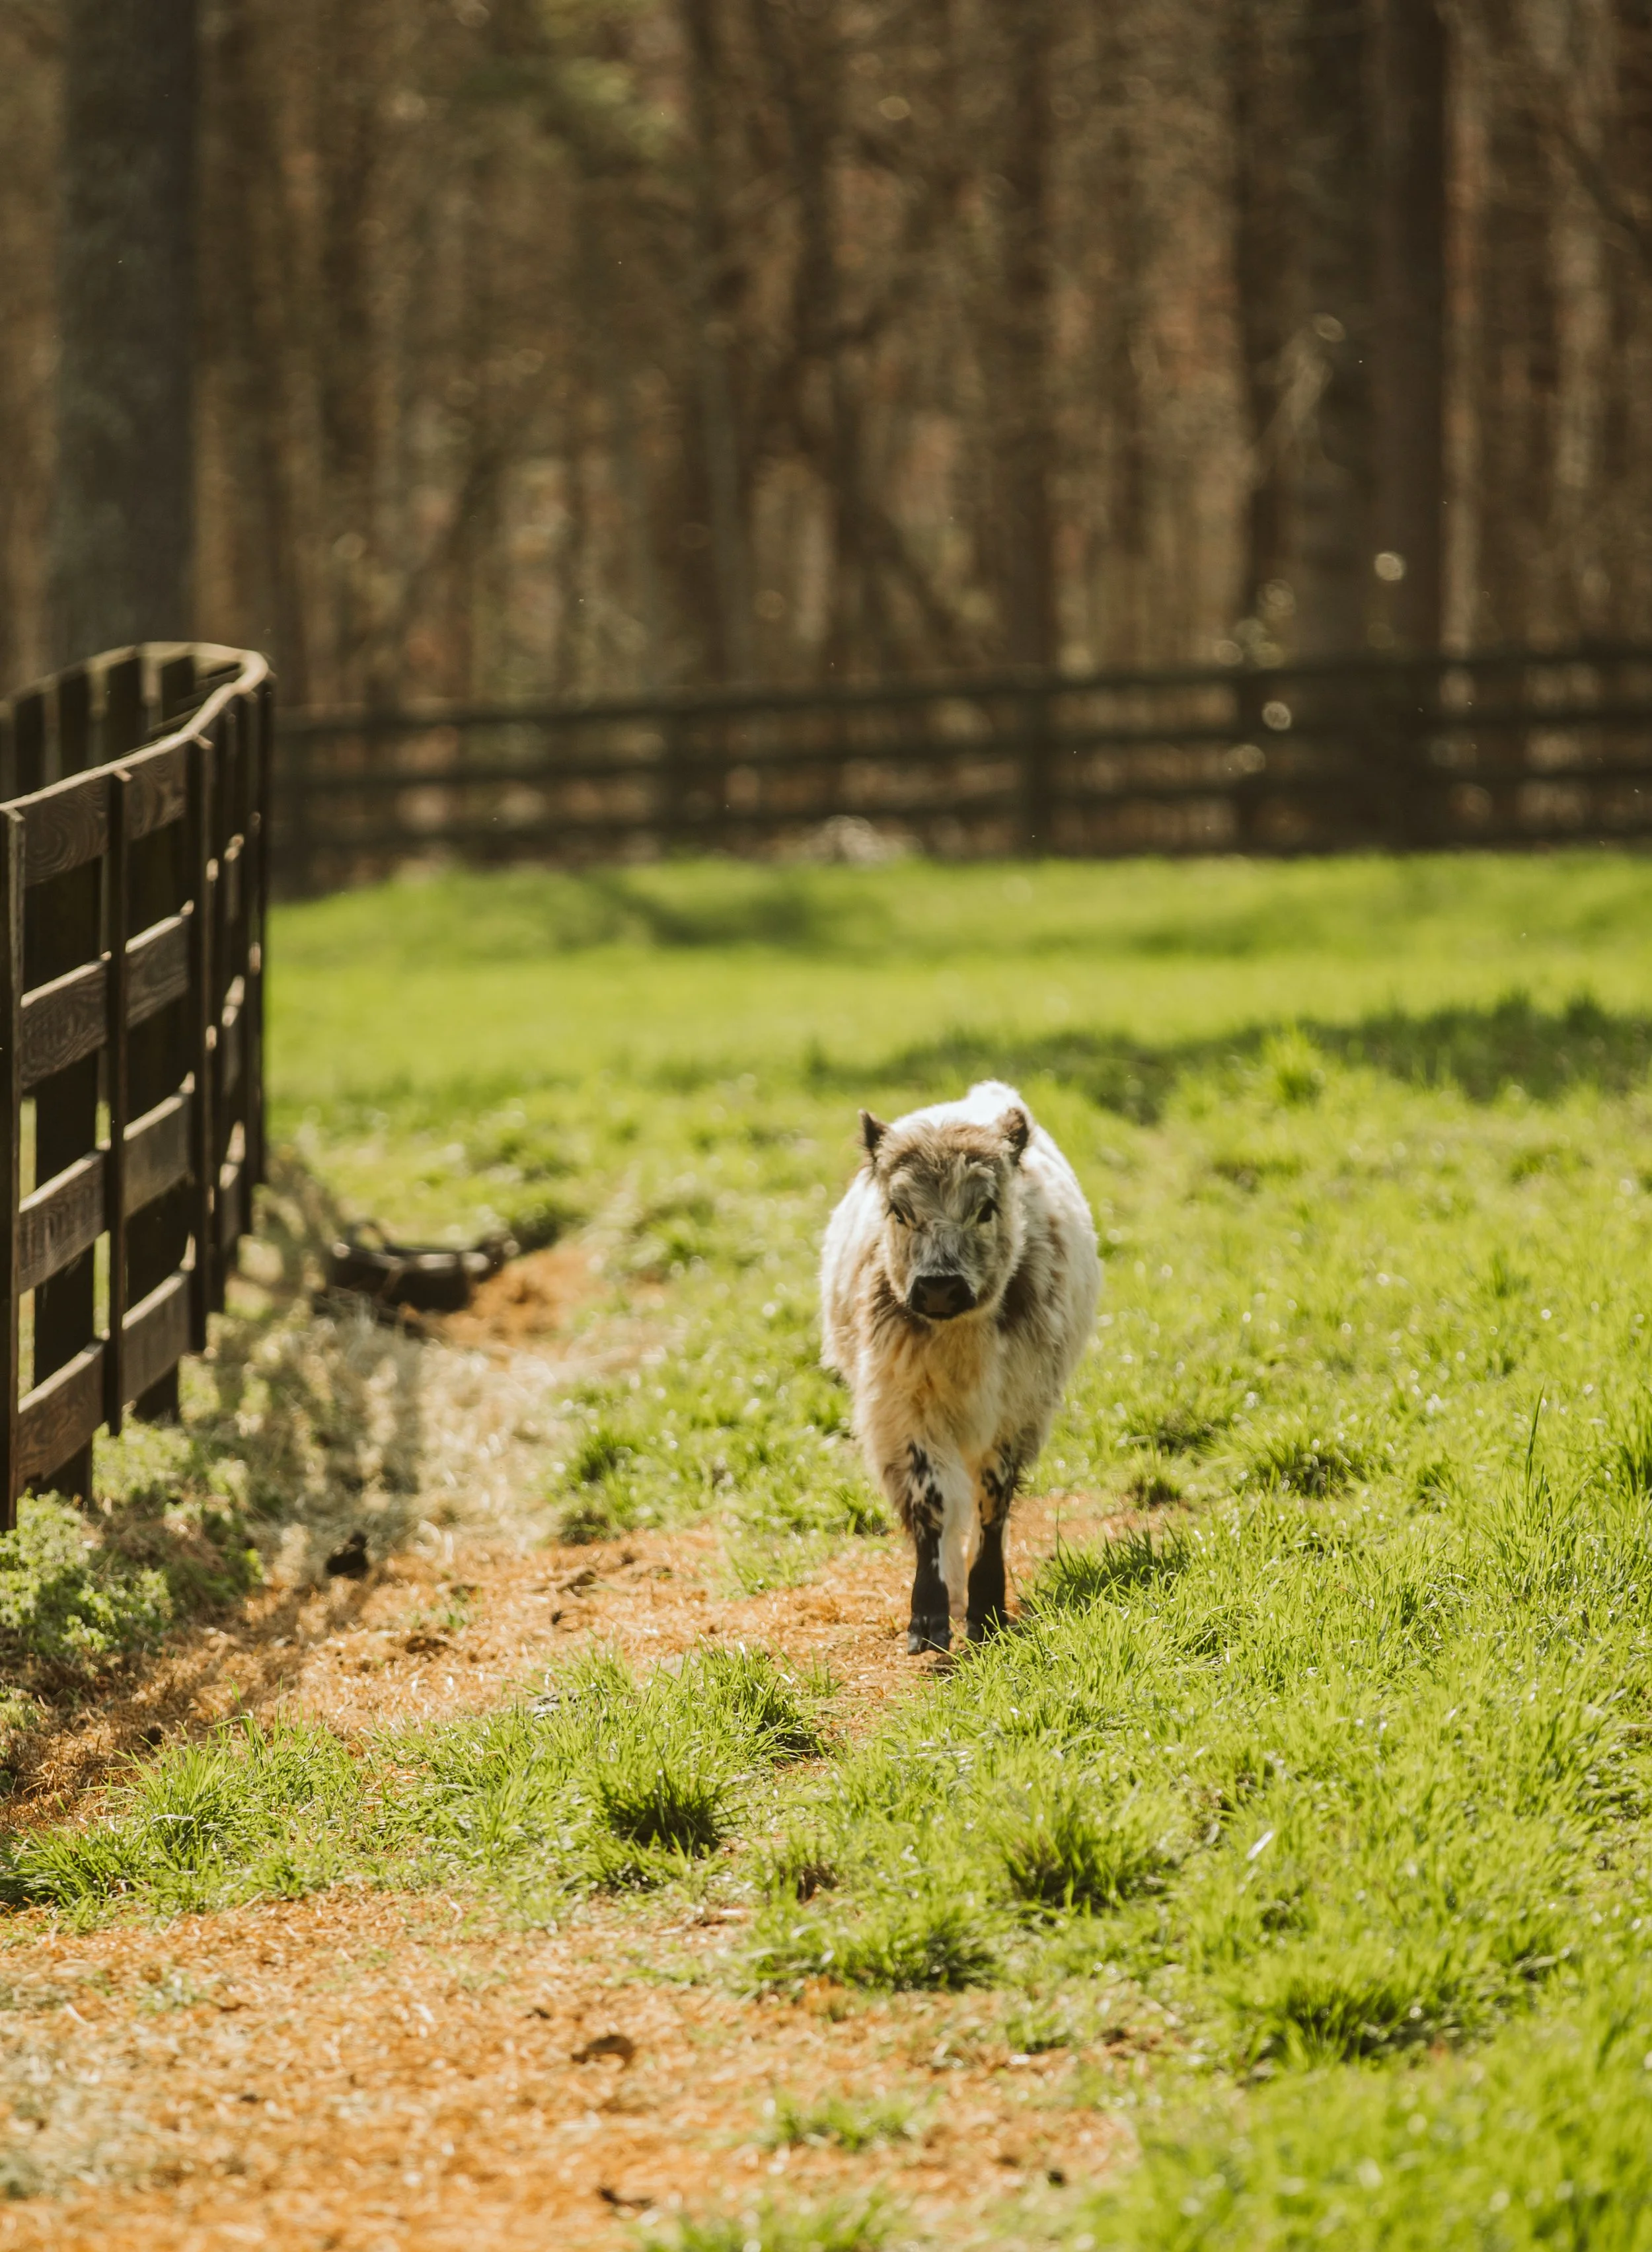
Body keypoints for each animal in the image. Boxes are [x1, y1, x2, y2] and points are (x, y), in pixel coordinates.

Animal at [819, 1080, 1101, 1653]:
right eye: (898, 1210)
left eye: (986, 1207)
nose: (939, 1286)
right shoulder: (902, 1412)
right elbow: (932, 1505)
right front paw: (929, 1617)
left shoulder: (1019, 1411)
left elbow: (994, 1505)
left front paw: (987, 1608)